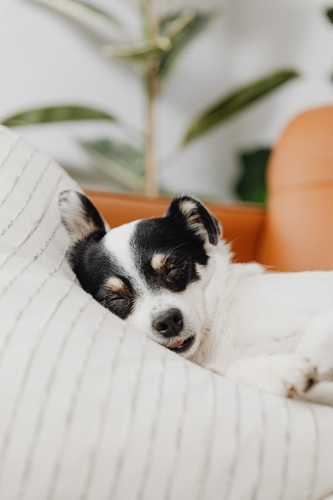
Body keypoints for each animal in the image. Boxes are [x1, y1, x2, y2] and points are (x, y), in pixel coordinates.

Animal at [58, 190, 332, 406]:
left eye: (174, 268)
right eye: (115, 298)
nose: (168, 321)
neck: (218, 326)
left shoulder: (321, 321)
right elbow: (233, 369)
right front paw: (283, 371)